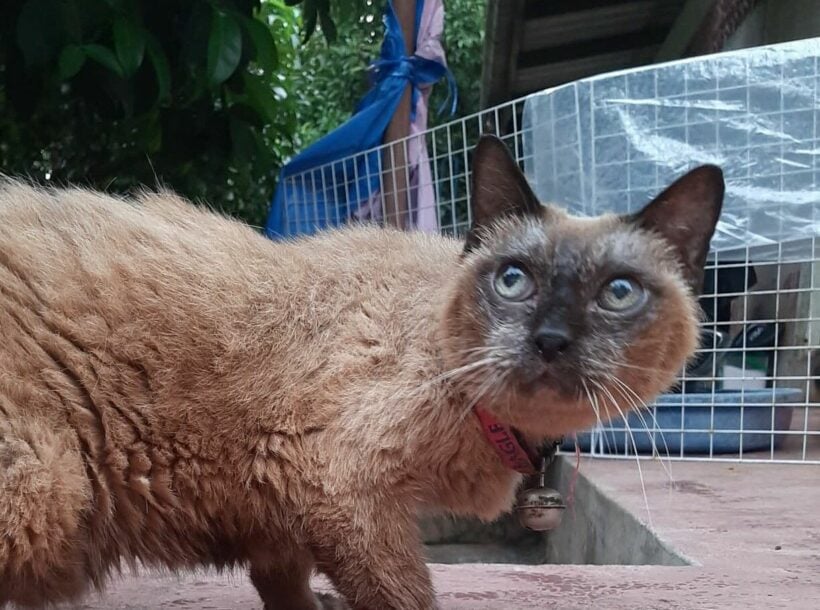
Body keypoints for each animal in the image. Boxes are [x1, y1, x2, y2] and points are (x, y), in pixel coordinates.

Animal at [0, 135, 724, 604]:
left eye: (618, 292)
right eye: (514, 280)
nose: (550, 341)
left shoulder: (281, 516)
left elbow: (284, 584)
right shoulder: (341, 491)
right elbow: (406, 598)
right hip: (44, 487)